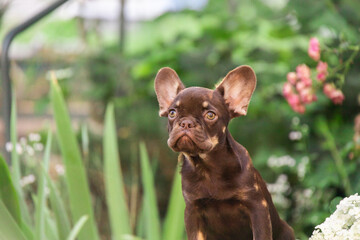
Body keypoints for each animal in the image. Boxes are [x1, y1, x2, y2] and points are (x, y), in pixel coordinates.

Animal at [155, 64, 296, 239]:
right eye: (172, 113)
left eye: (210, 115)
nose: (186, 123)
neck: (208, 166)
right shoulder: (192, 211)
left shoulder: (257, 207)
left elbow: (261, 235)